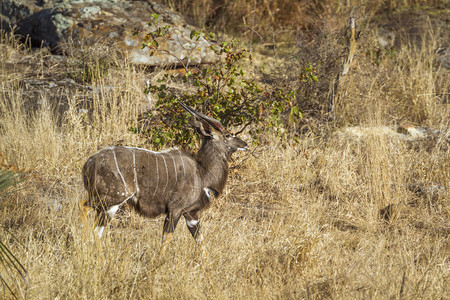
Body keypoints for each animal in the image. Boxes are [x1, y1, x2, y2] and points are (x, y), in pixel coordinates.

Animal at [81, 103, 250, 248]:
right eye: (228, 135)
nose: (245, 144)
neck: (202, 172)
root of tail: (89, 163)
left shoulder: (191, 214)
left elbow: (200, 240)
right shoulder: (175, 209)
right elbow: (166, 238)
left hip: (108, 205)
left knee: (96, 230)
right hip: (112, 199)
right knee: (85, 209)